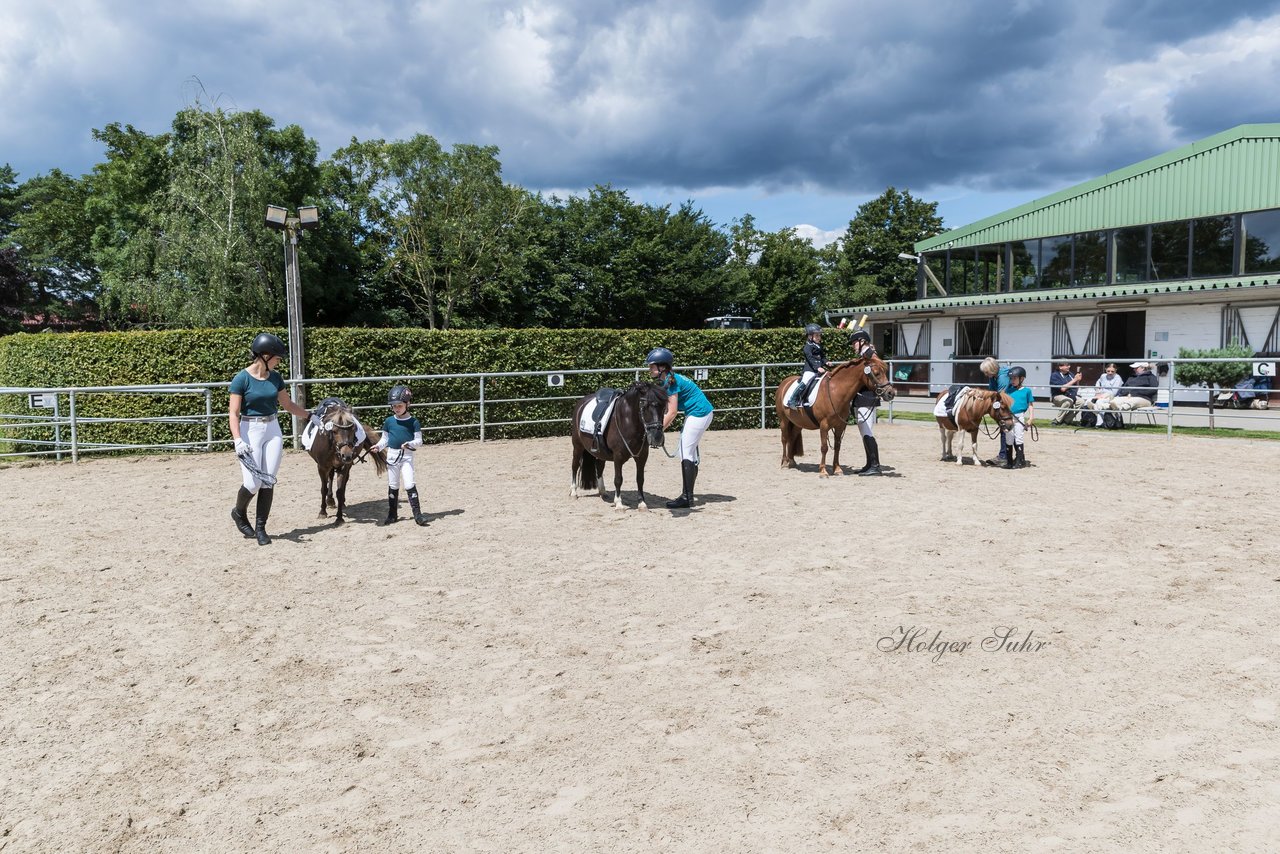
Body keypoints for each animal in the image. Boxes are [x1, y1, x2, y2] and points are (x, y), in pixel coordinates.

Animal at [570, 381, 670, 514]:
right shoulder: (618, 456)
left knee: (599, 468)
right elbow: (618, 479)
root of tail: (581, 403)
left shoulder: (642, 456)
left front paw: (642, 504)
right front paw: (619, 504)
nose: (657, 437)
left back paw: (603, 492)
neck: (628, 421)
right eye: (644, 405)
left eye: (664, 407)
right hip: (577, 447)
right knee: (575, 466)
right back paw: (573, 493)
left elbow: (640, 479)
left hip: (600, 452)